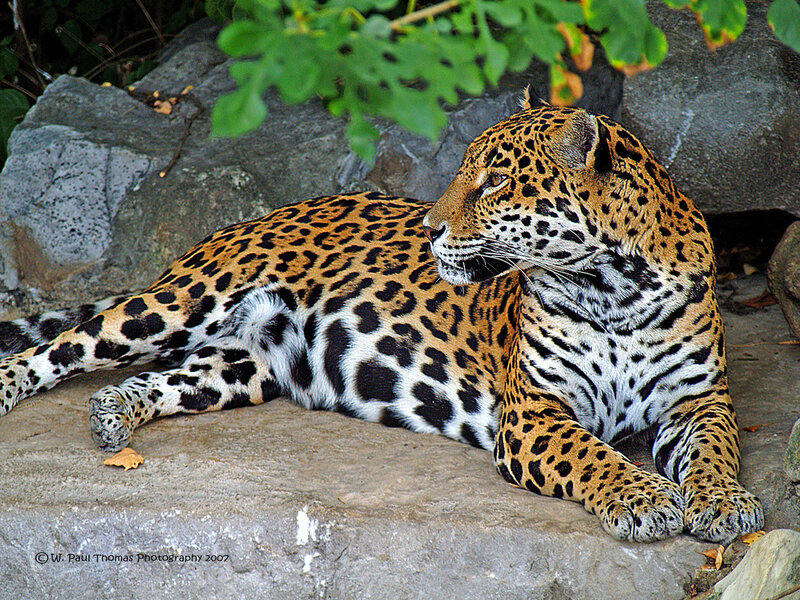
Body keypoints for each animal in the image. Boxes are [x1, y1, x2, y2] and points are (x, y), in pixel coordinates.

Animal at [0, 92, 764, 543]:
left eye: (494, 182)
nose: (429, 228)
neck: (614, 287)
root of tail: (264, 213)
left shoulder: (699, 399)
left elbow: (715, 449)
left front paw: (723, 502)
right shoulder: (536, 413)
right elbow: (592, 454)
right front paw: (643, 497)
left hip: (246, 362)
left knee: (165, 376)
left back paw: (112, 415)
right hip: (185, 300)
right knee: (63, 345)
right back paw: (16, 387)